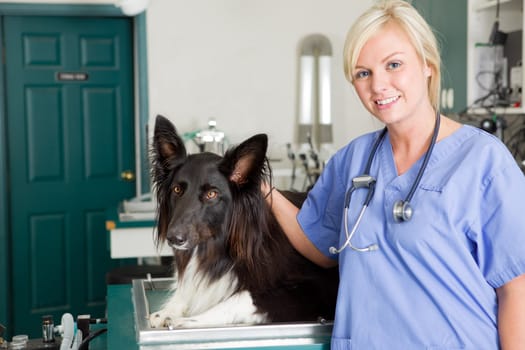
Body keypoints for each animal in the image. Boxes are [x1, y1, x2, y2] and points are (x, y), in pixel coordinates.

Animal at [148, 115, 336, 328]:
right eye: (177, 190)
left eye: (212, 194)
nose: (174, 238)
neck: (218, 252)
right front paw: (169, 310)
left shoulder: (314, 288)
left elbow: (242, 297)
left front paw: (189, 320)